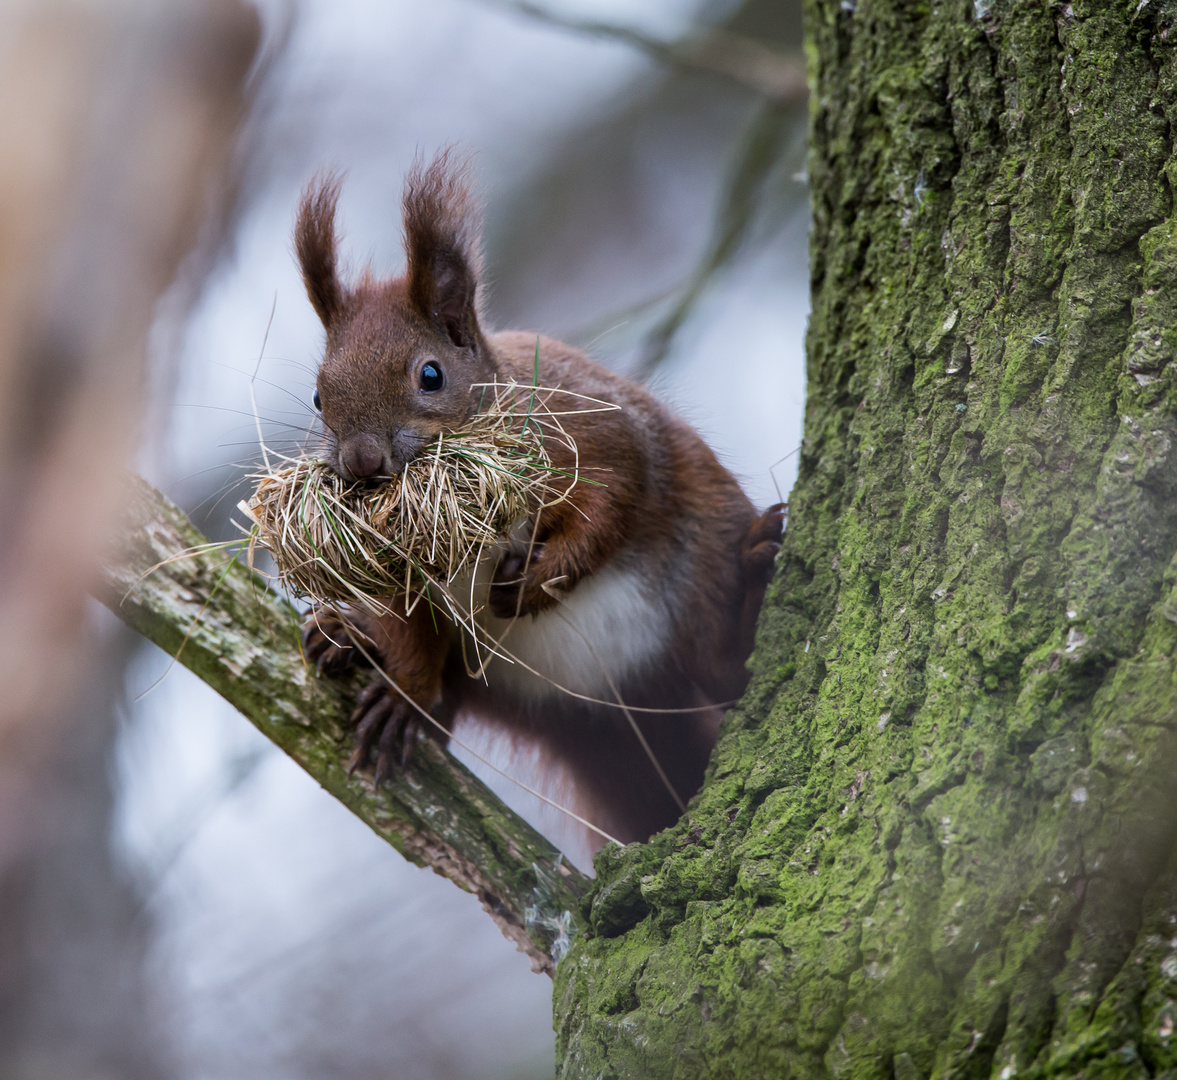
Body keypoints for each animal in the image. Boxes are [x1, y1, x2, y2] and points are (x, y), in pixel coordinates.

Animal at [294, 154, 781, 847]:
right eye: (317, 396)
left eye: (431, 375)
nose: (362, 464)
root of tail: (613, 702)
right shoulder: (400, 569)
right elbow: (413, 631)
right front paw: (403, 691)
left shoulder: (591, 432)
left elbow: (613, 501)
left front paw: (538, 582)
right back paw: (346, 636)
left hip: (701, 556)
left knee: (725, 665)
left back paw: (758, 573)